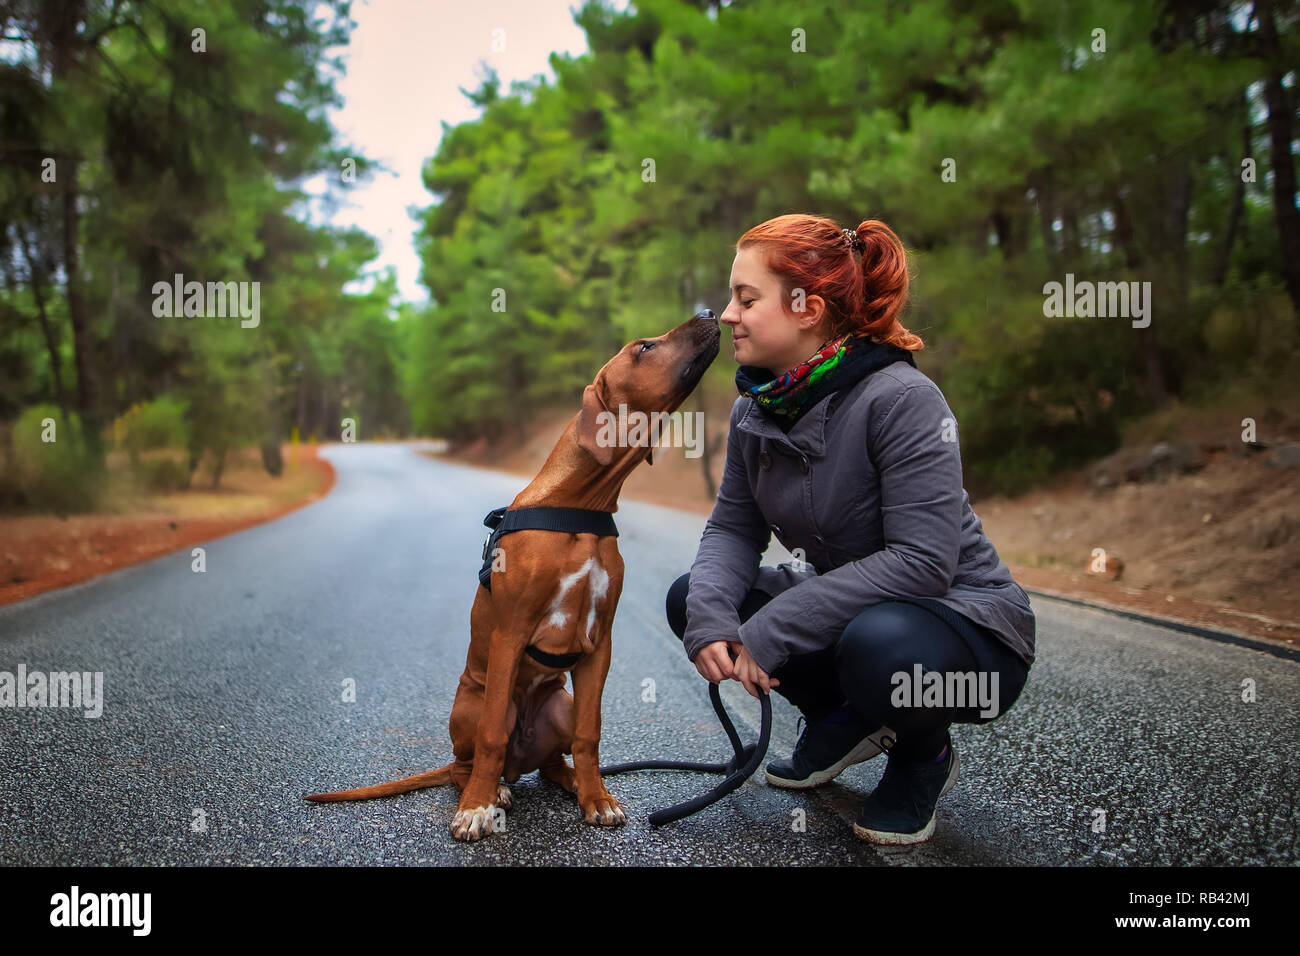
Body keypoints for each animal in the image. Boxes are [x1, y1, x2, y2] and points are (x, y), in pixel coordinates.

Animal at [309, 310, 728, 842]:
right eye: (645, 348)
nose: (709, 313)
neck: (579, 506)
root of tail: (521, 756)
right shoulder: (510, 634)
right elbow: (491, 737)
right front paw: (474, 810)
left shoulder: (601, 643)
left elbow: (591, 734)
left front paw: (596, 799)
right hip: (477, 706)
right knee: (468, 762)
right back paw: (489, 792)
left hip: (561, 704)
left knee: (551, 763)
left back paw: (571, 781)